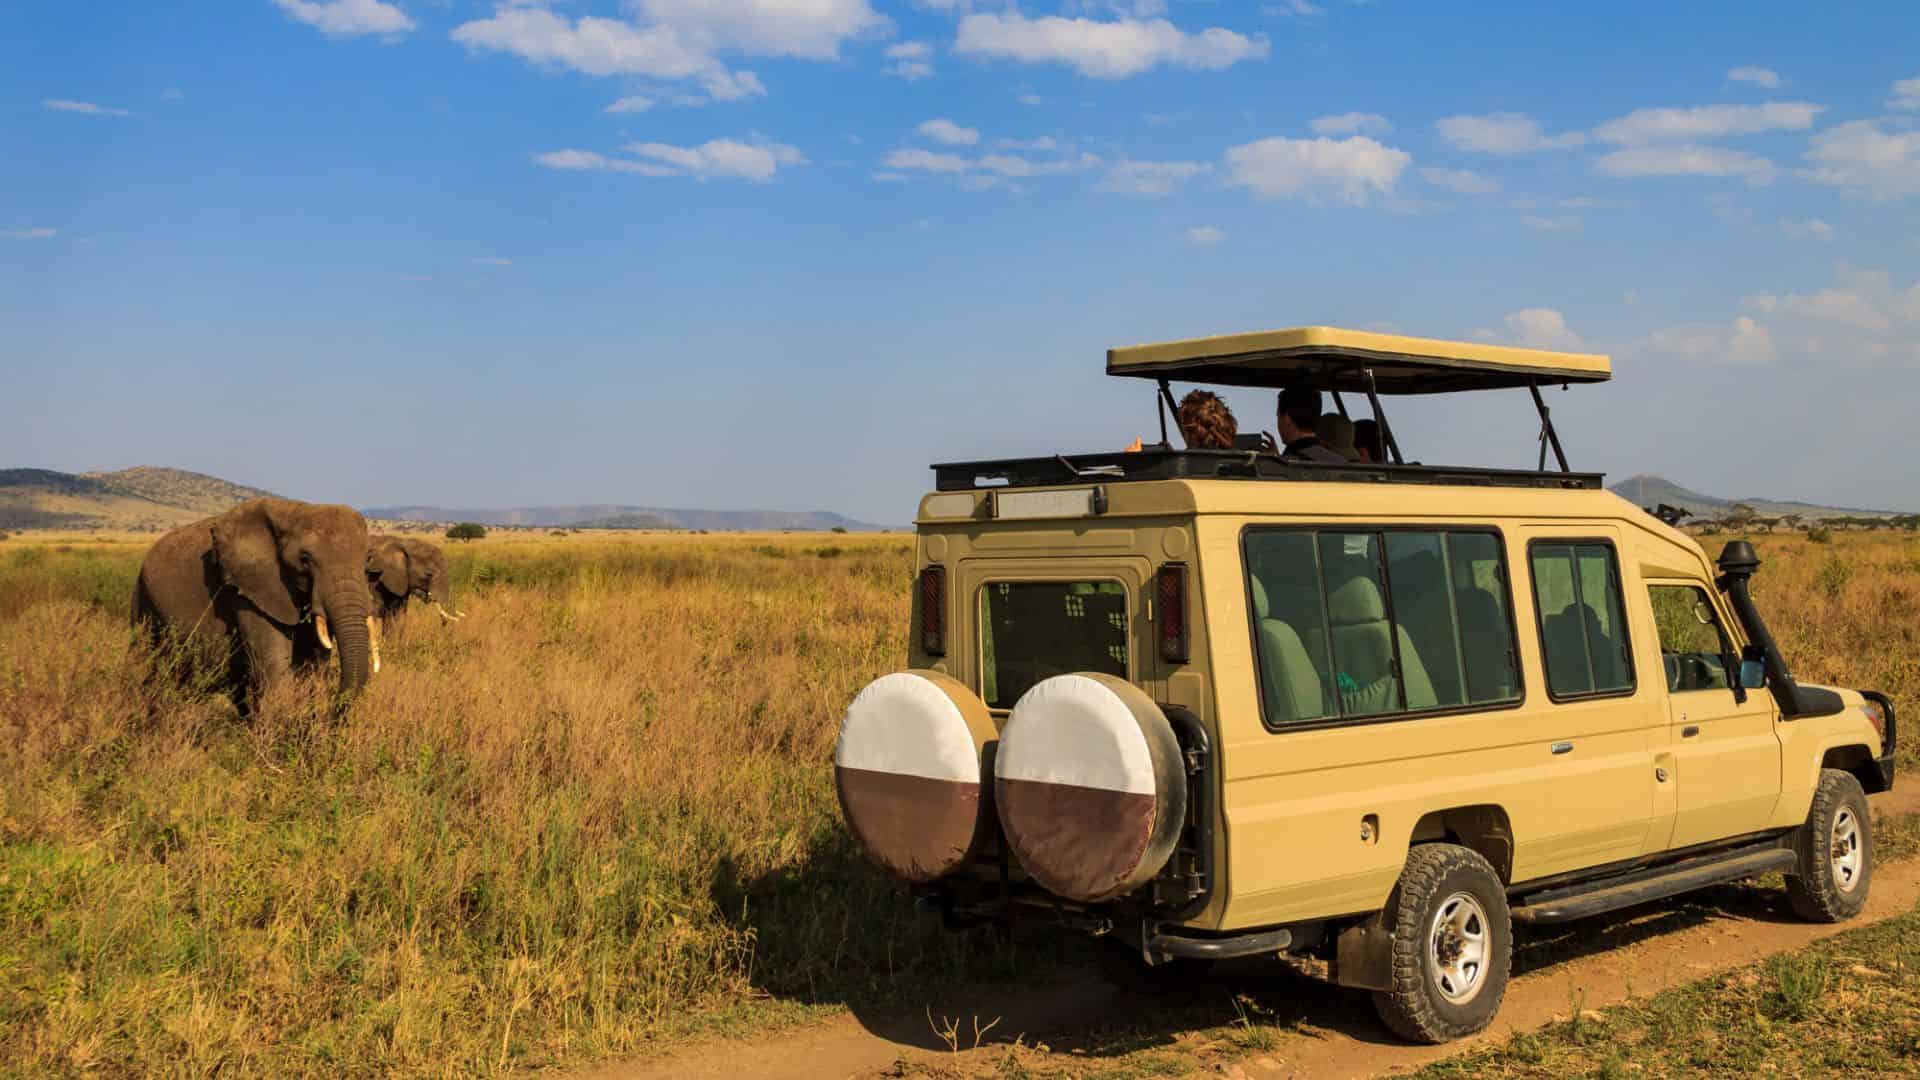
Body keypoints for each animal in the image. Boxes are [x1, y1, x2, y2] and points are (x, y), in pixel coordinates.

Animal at [132, 497, 374, 703]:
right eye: (305, 559)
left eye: (368, 559)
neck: (294, 510)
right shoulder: (247, 590)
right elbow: (274, 668)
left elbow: (315, 660)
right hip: (143, 601)